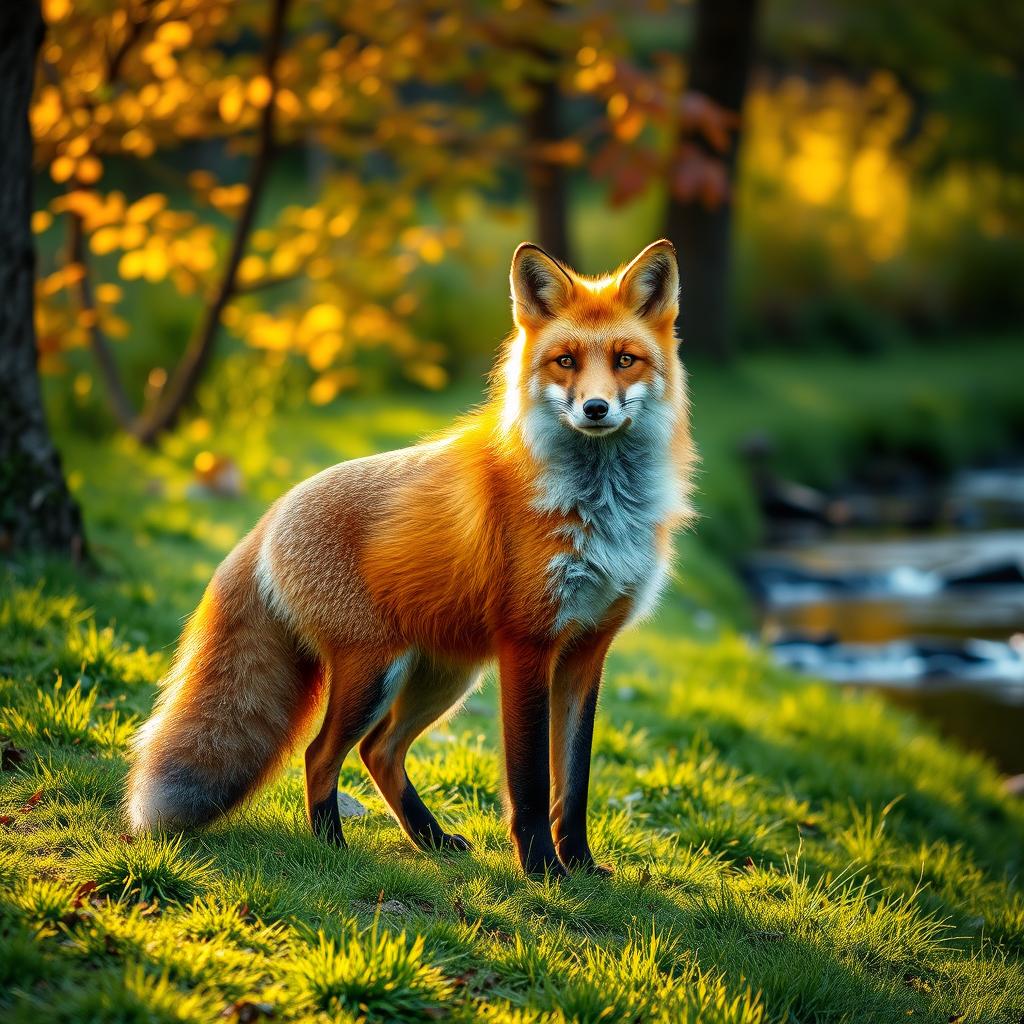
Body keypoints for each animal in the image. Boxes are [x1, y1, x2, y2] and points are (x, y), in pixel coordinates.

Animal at [123, 237, 692, 872]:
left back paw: (430, 838)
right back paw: (332, 846)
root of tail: (270, 516)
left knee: (380, 751)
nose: (595, 408)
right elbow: (529, 780)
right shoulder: (527, 644)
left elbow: (574, 781)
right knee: (322, 753)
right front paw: (542, 868)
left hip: (445, 675)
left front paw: (581, 866)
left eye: (625, 360)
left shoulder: (588, 649)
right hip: (375, 670)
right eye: (565, 361)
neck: (600, 506)